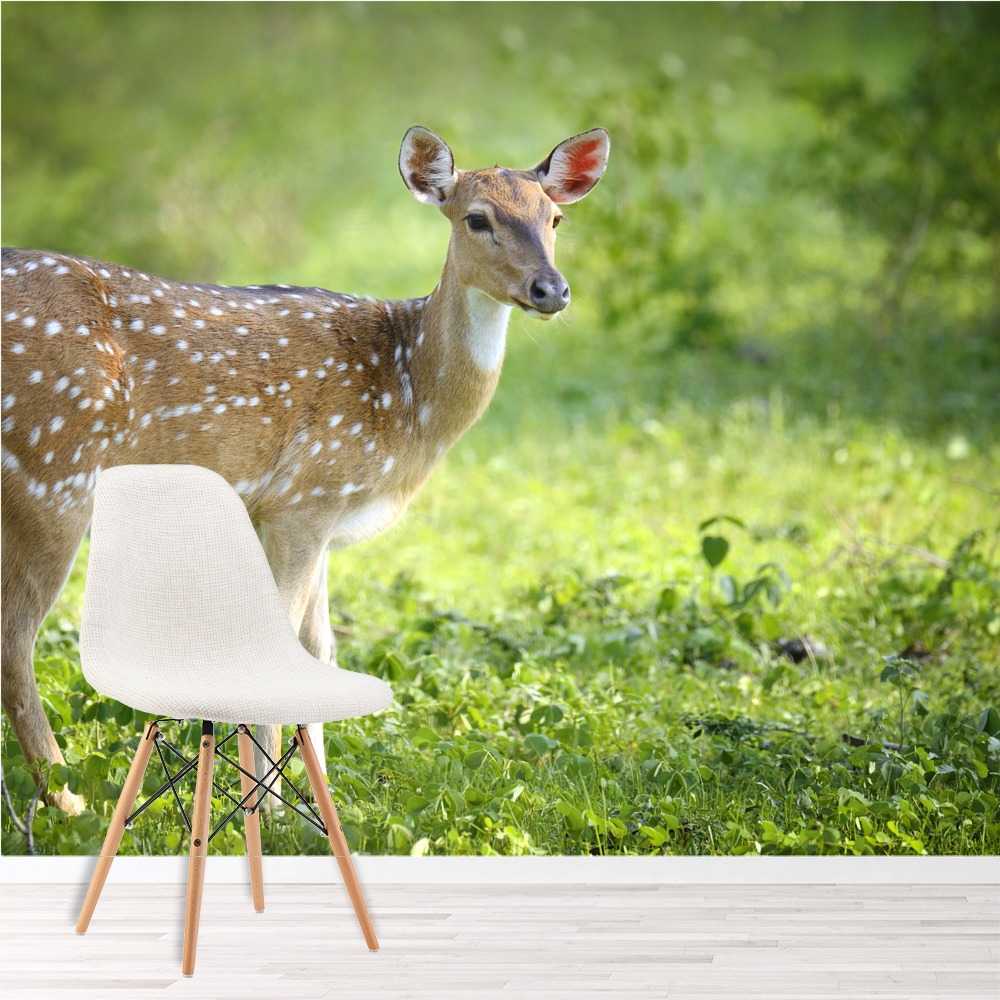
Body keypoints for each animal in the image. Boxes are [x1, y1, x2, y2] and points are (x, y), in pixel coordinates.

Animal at [0, 125, 610, 816]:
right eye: (476, 218)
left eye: (555, 217)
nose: (551, 290)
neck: (408, 396)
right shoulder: (304, 495)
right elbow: (285, 649)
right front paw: (267, 805)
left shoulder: (319, 516)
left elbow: (321, 647)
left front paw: (319, 800)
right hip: (54, 468)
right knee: (15, 641)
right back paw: (68, 803)